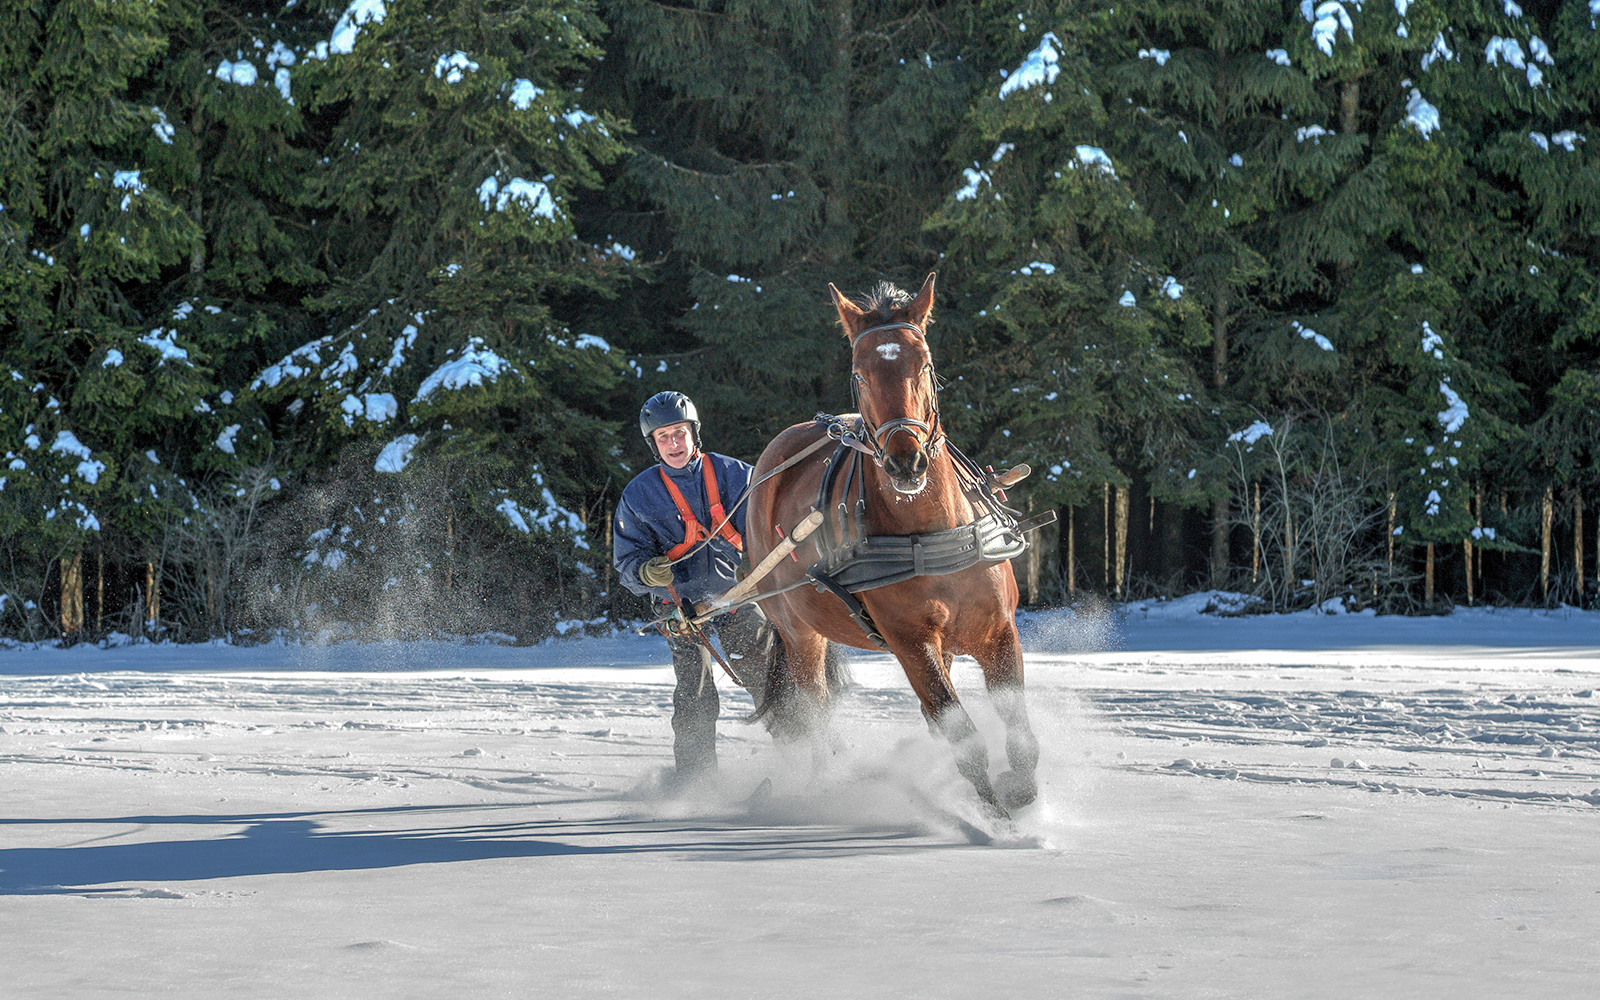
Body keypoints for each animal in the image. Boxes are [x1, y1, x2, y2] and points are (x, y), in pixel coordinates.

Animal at [745, 270, 1043, 812]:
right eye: (859, 374)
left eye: (924, 364)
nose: (907, 462)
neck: (931, 532)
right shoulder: (910, 642)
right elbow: (964, 736)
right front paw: (994, 815)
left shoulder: (998, 631)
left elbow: (1019, 735)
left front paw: (1018, 791)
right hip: (798, 632)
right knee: (814, 709)